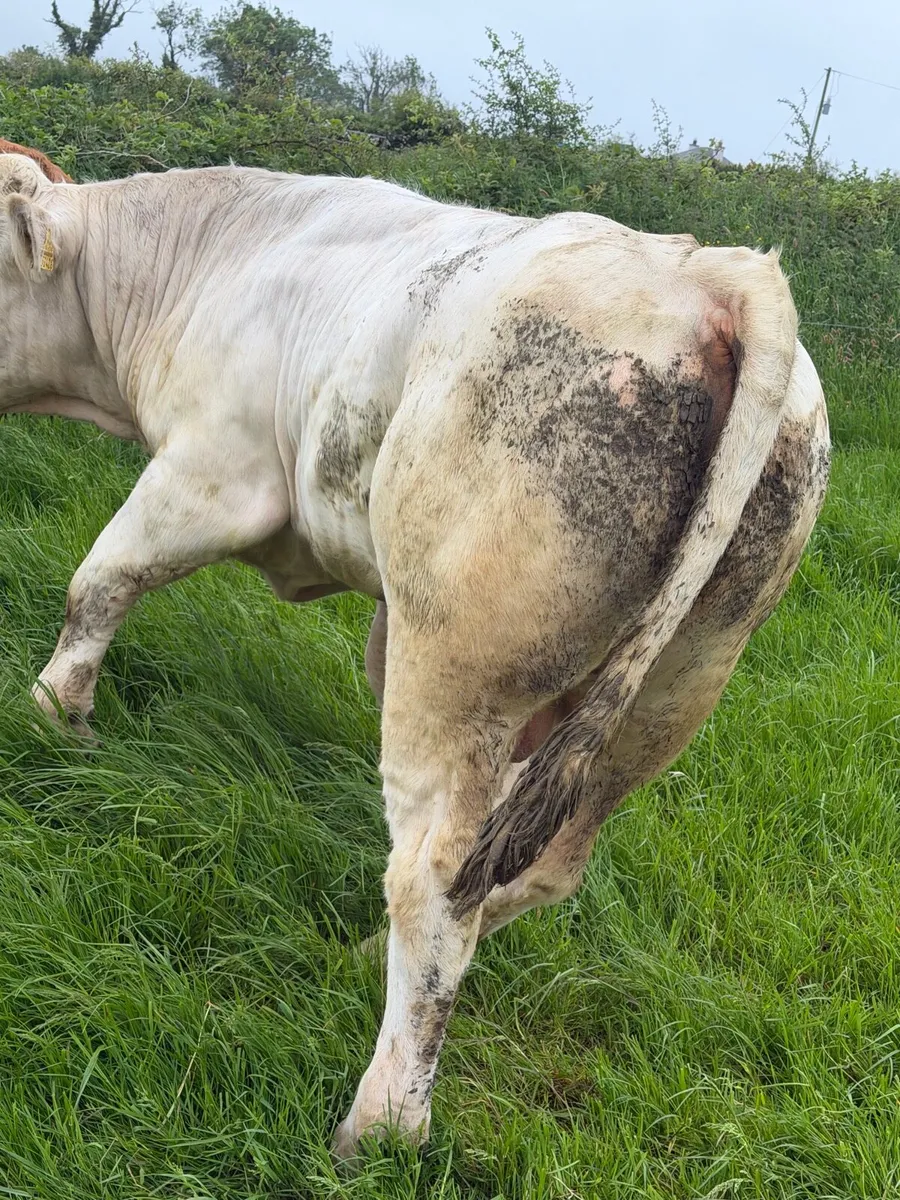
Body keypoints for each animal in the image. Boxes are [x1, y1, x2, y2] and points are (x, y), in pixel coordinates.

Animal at [0, 152, 829, 1158]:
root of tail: (716, 272)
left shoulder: (214, 475)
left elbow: (99, 582)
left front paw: (53, 718)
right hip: (671, 686)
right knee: (526, 866)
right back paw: (367, 958)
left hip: (457, 667)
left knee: (436, 877)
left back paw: (384, 1120)